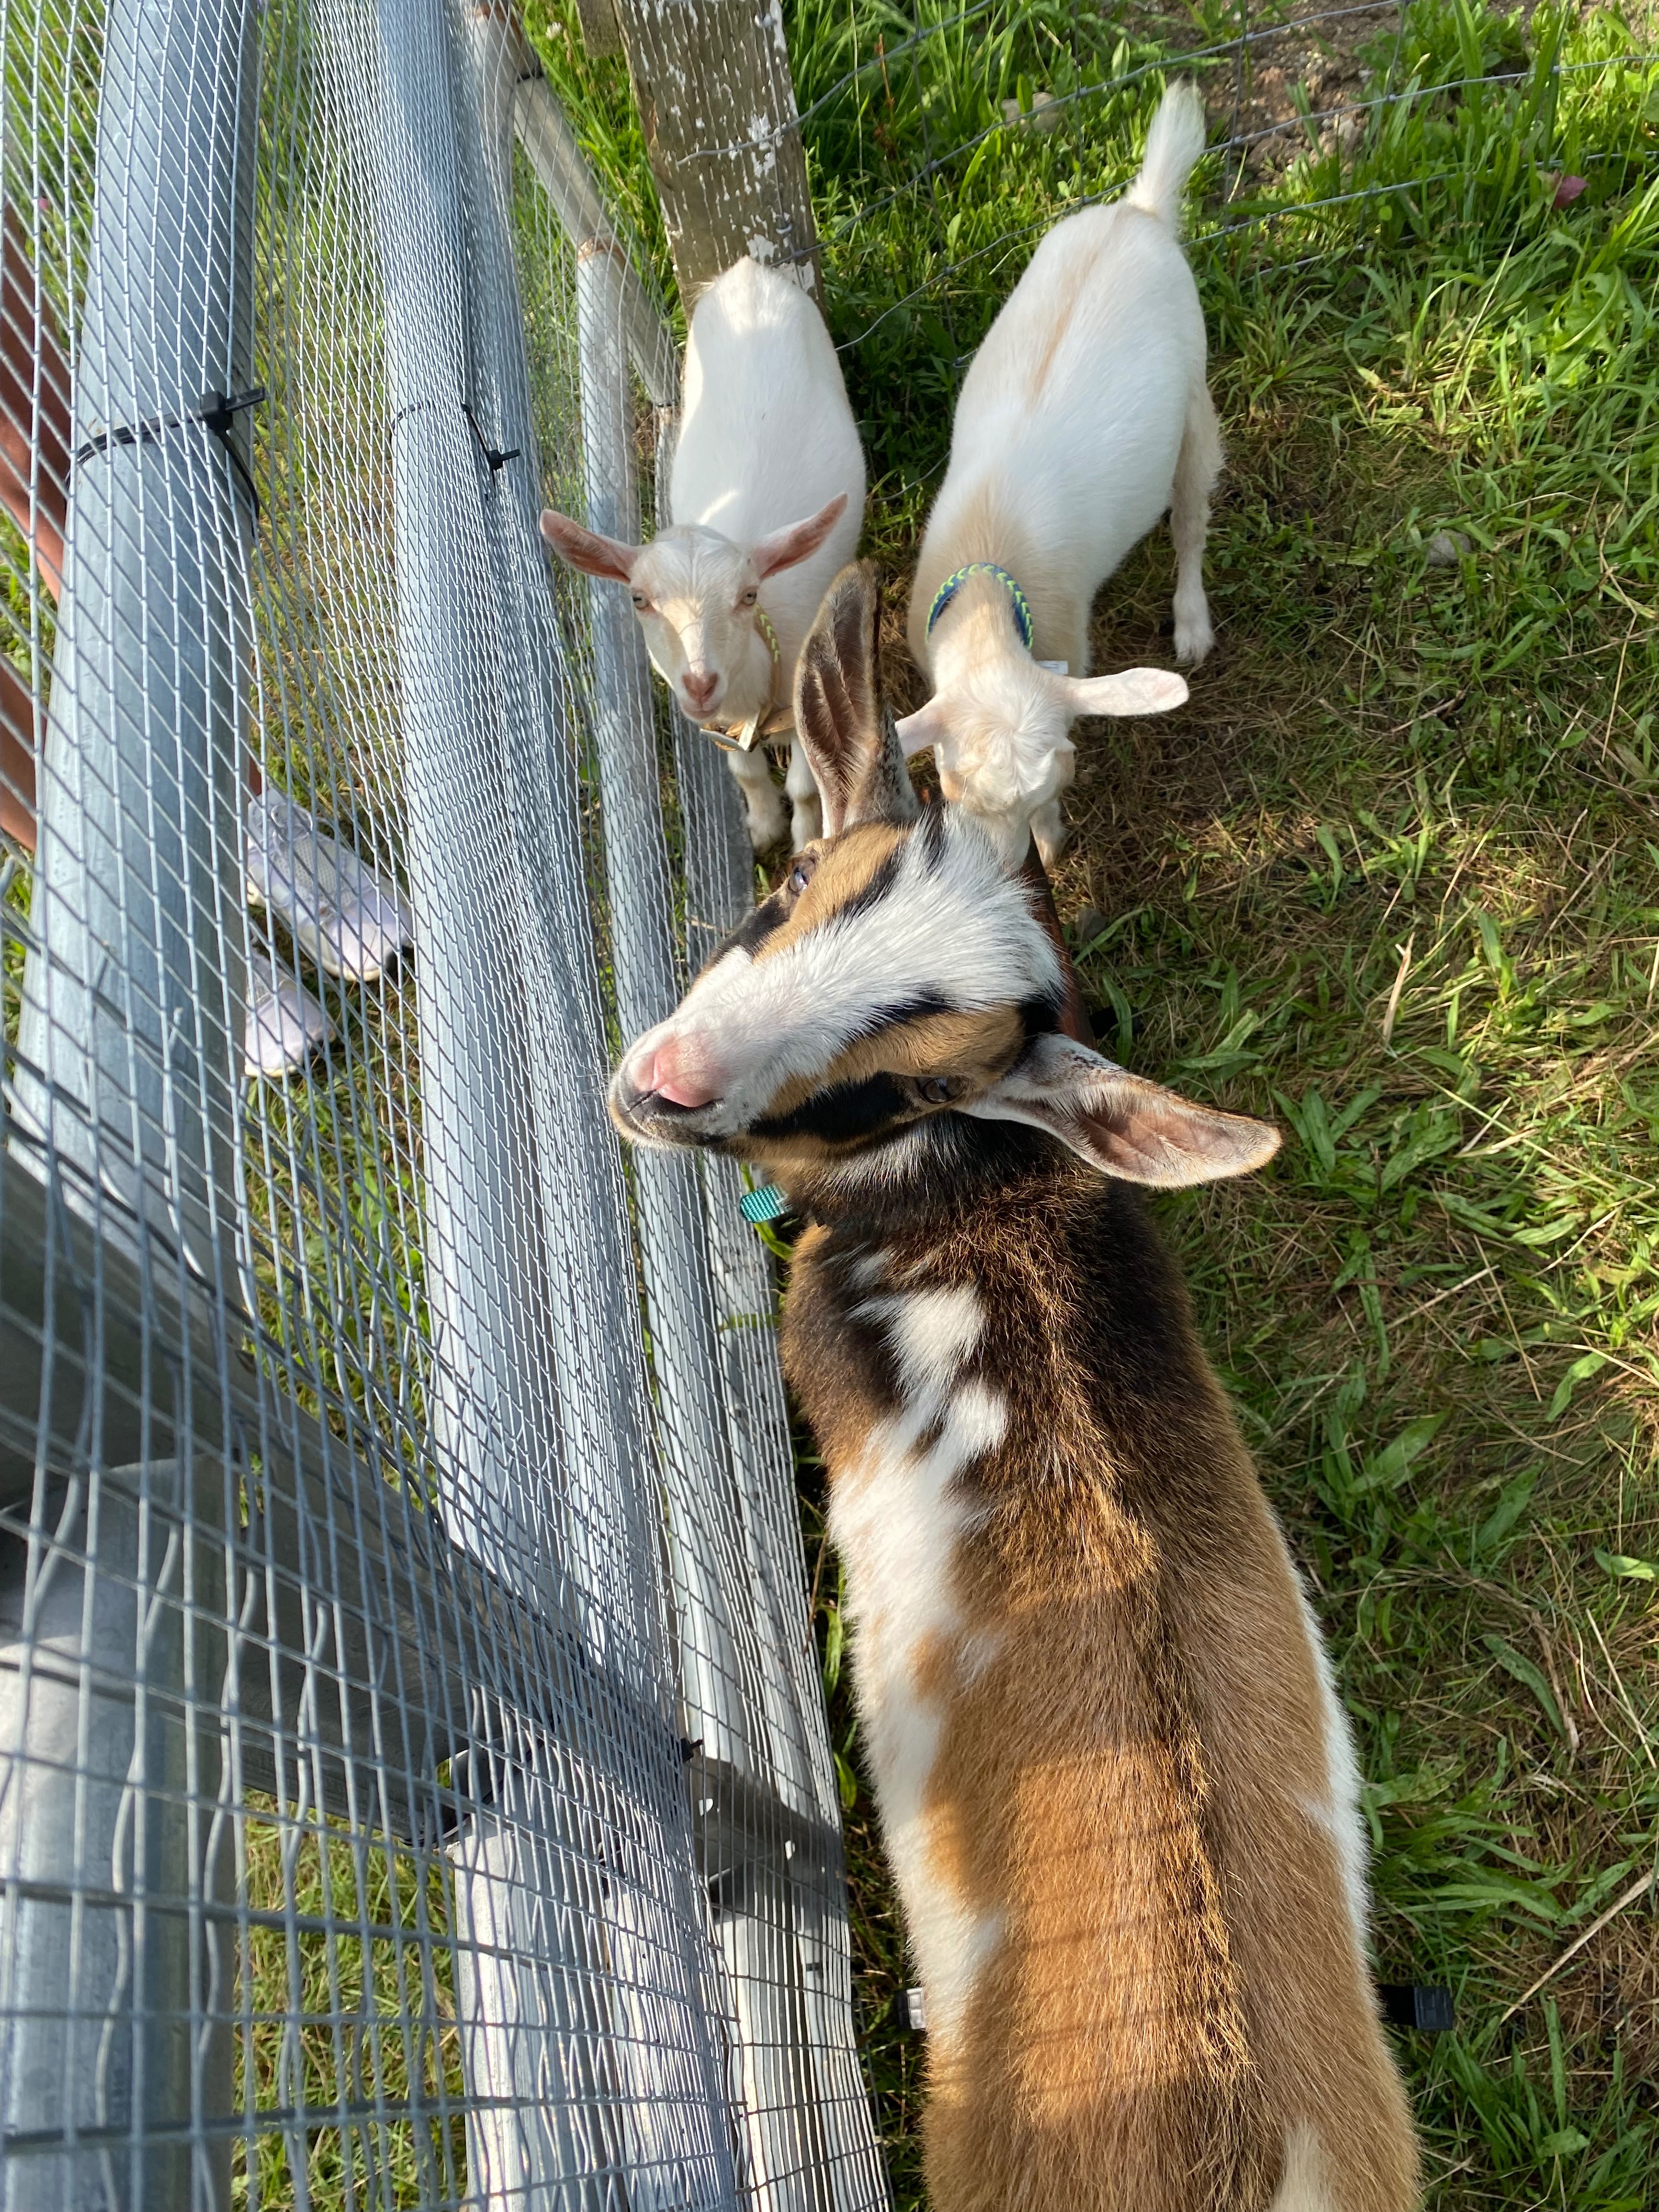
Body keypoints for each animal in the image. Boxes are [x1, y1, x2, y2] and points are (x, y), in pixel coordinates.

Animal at [542, 255, 865, 852]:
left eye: (748, 595)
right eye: (639, 599)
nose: (698, 683)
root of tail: (747, 271)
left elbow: (805, 783)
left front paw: (805, 839)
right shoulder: (717, 725)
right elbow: (746, 773)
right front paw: (762, 828)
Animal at [898, 82, 1222, 868]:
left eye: (1050, 790)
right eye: (953, 786)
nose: (1001, 870)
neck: (989, 590)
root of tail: (1139, 212)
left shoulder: (1069, 642)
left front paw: (1051, 848)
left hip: (1195, 404)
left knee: (1192, 517)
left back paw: (1192, 621)